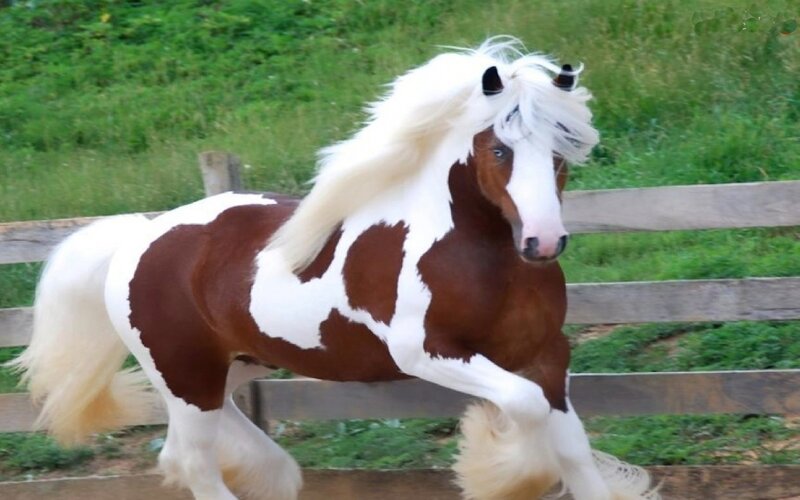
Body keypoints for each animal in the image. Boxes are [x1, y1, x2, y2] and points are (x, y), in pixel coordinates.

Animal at [10, 38, 659, 499]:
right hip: (185, 375)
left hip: (230, 371)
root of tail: (137, 237)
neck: (479, 258)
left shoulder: (545, 354)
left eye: (562, 148)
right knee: (193, 462)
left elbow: (573, 446)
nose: (543, 242)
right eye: (500, 149)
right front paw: (504, 471)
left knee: (201, 451)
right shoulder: (428, 354)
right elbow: (524, 411)